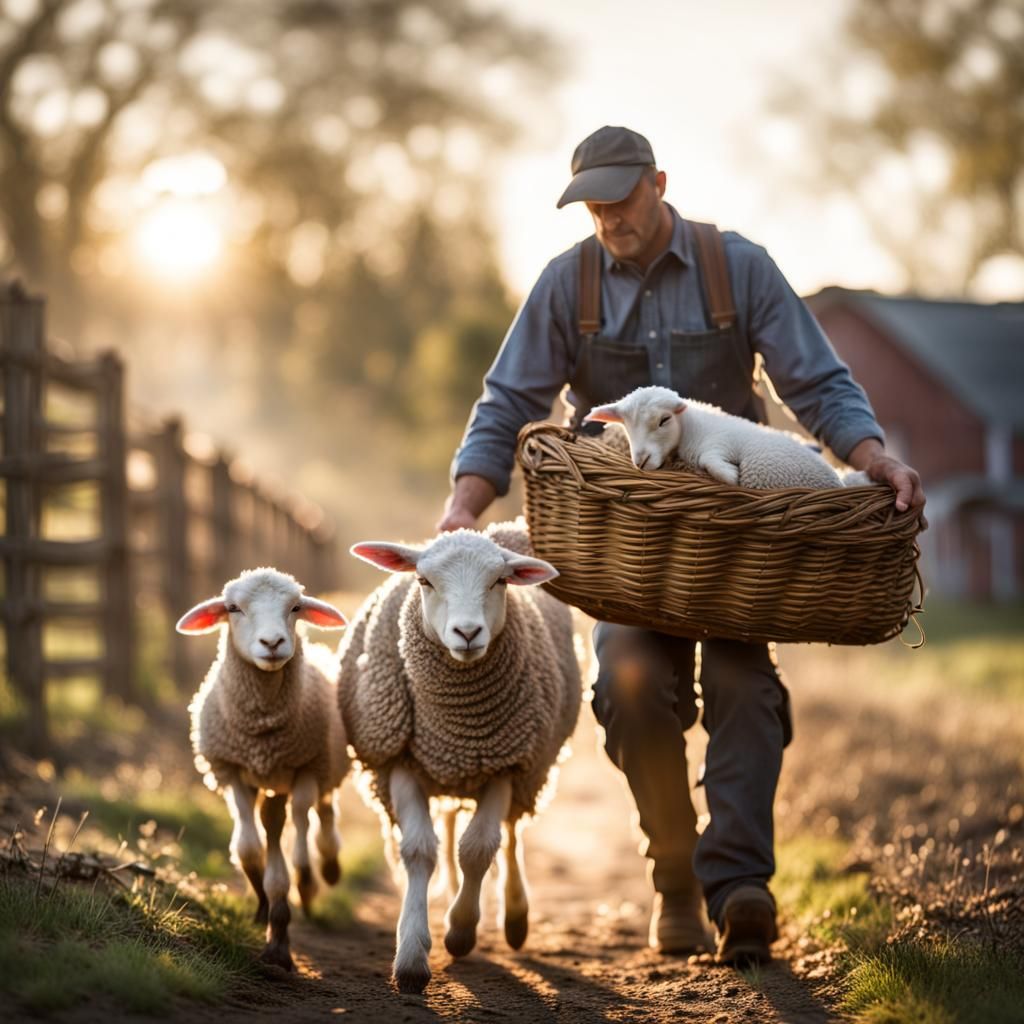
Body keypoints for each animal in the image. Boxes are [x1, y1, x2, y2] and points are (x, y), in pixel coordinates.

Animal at [177, 568, 349, 971]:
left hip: (325, 765)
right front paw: (263, 902)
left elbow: (296, 828)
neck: (263, 731)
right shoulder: (232, 772)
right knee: (276, 820)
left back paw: (322, 869)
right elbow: (249, 848)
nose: (272, 643)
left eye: (296, 607)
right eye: (233, 608)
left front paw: (298, 890)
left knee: (319, 815)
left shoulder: (305, 767)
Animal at [338, 520, 581, 994]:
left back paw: (515, 917)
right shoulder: (399, 759)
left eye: (499, 581)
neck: (459, 722)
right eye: (423, 581)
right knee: (448, 827)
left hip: (530, 769)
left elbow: (479, 849)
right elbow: (419, 850)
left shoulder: (505, 763)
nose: (468, 633)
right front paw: (412, 956)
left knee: (511, 835)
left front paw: (461, 931)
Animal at [585, 385, 877, 489]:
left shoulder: (717, 444)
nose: (641, 461)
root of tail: (838, 482)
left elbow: (711, 462)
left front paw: (731, 477)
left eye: (664, 421)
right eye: (626, 426)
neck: (692, 427)